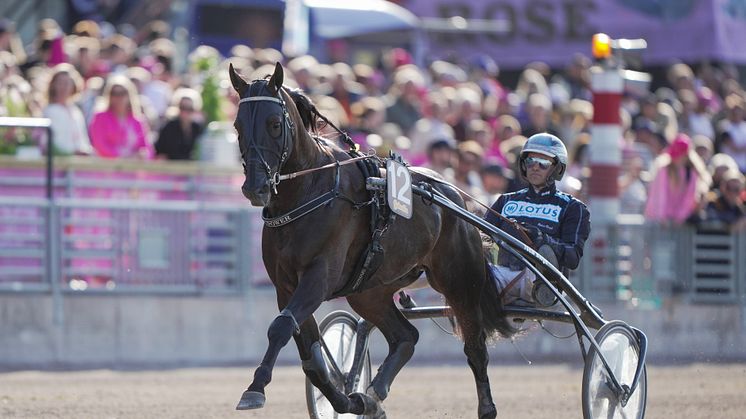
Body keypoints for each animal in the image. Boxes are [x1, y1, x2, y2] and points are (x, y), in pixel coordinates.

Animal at [230, 63, 516, 419]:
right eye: (238, 125)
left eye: (273, 123)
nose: (254, 187)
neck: (307, 192)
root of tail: (454, 196)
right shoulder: (286, 285)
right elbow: (311, 359)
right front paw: (348, 400)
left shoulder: (319, 277)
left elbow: (280, 328)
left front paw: (255, 389)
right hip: (370, 290)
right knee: (406, 336)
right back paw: (374, 394)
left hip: (460, 280)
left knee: (475, 346)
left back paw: (486, 408)